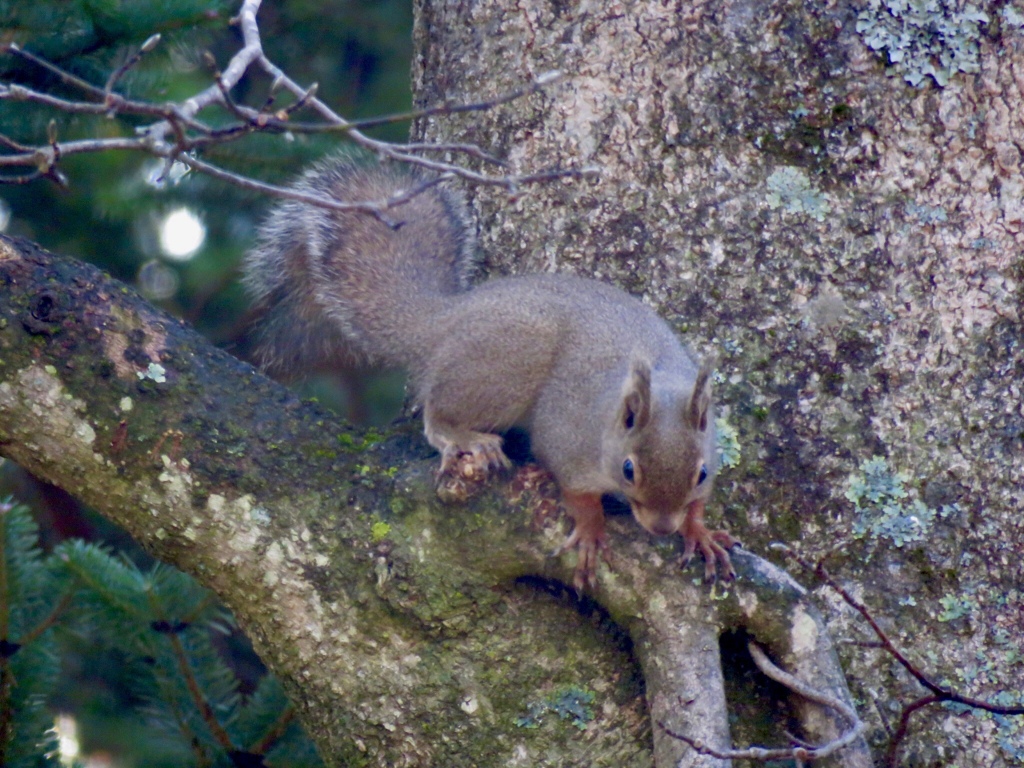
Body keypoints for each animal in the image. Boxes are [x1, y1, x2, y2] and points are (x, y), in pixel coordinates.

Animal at [241, 156, 737, 589]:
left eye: (702, 473)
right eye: (629, 469)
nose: (661, 527)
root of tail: (446, 318)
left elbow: (699, 507)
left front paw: (699, 531)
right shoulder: (567, 436)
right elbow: (574, 490)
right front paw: (592, 529)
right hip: (506, 365)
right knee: (438, 411)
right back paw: (462, 436)